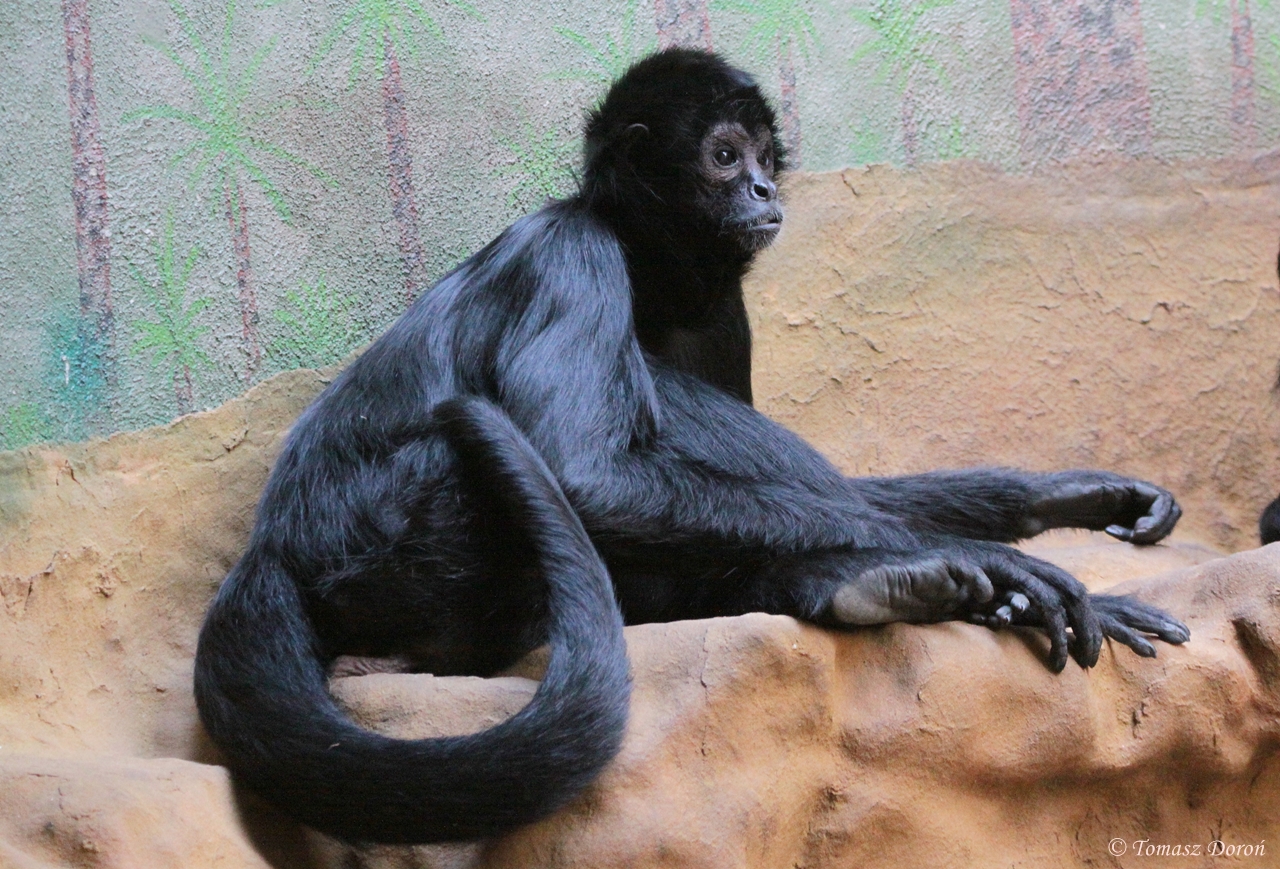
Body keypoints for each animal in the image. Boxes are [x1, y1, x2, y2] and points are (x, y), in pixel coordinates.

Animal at [194, 49, 1189, 846]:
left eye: (762, 157)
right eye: (723, 156)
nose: (764, 190)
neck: (644, 270)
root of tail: (273, 549)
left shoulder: (722, 312)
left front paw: (1069, 498)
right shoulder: (574, 253)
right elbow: (587, 474)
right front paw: (994, 563)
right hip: (403, 530)